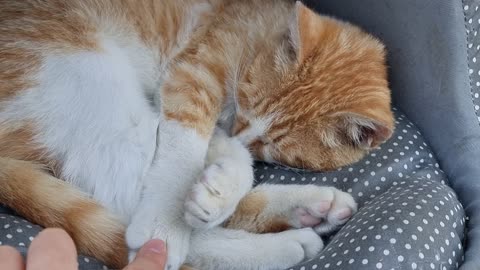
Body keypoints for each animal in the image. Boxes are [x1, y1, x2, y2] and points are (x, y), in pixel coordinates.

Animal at [0, 0, 394, 270]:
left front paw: (220, 182)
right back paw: (282, 242)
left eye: (274, 146)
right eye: (247, 102)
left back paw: (310, 209)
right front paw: (166, 222)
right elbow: (184, 153)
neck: (261, 30)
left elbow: (227, 155)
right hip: (93, 86)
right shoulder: (193, 75)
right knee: (125, 200)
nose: (241, 134)